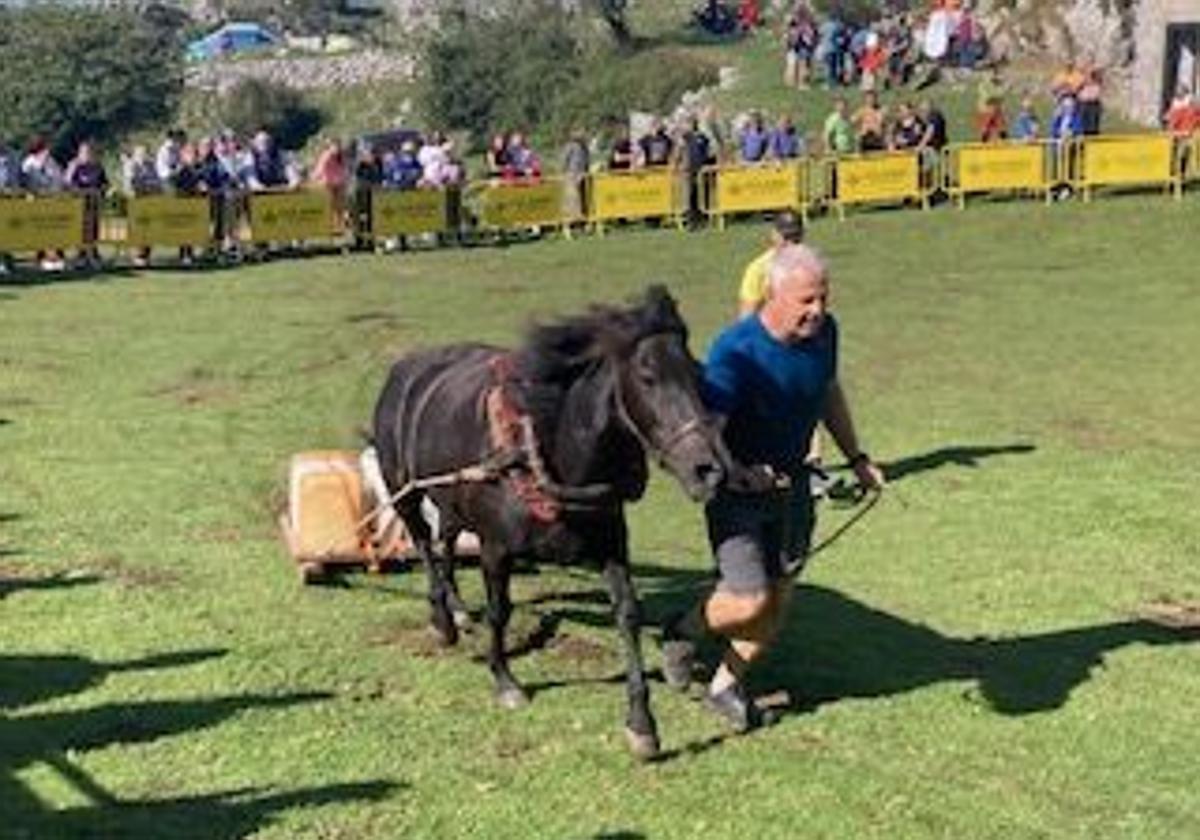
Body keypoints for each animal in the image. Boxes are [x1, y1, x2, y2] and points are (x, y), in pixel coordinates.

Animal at [374, 285, 724, 758]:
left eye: (696, 372)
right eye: (647, 376)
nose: (708, 470)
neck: (543, 452)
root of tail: (404, 371)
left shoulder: (611, 544)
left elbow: (628, 613)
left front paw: (641, 722)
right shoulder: (495, 548)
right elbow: (500, 611)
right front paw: (504, 679)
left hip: (451, 500)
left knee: (445, 540)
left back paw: (459, 610)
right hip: (406, 495)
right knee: (426, 546)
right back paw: (443, 619)